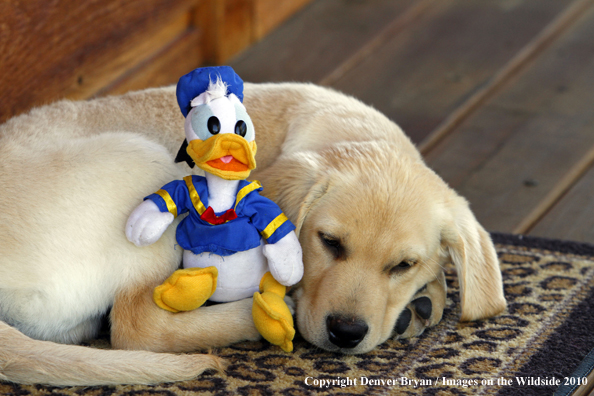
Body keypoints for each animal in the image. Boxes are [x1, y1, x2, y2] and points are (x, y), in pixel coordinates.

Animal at [0, 82, 504, 386]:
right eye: (329, 243)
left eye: (403, 265)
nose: (345, 333)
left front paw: (424, 297)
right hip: (144, 164)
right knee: (136, 325)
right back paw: (265, 313)